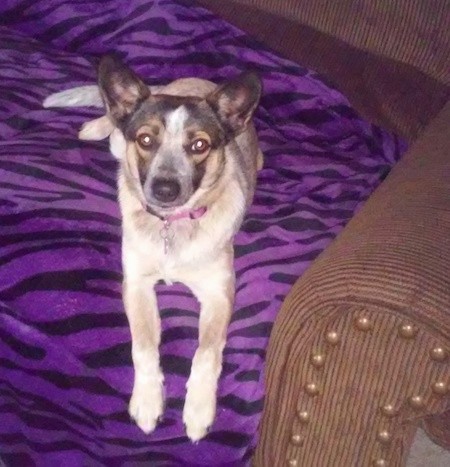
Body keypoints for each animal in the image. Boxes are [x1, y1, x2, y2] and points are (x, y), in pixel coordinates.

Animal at [44, 54, 262, 442]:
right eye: (146, 139)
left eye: (199, 145)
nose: (164, 189)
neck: (169, 225)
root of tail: (189, 82)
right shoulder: (136, 284)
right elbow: (143, 347)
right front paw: (147, 401)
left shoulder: (219, 294)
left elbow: (207, 353)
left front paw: (198, 410)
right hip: (118, 141)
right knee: (114, 125)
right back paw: (95, 126)